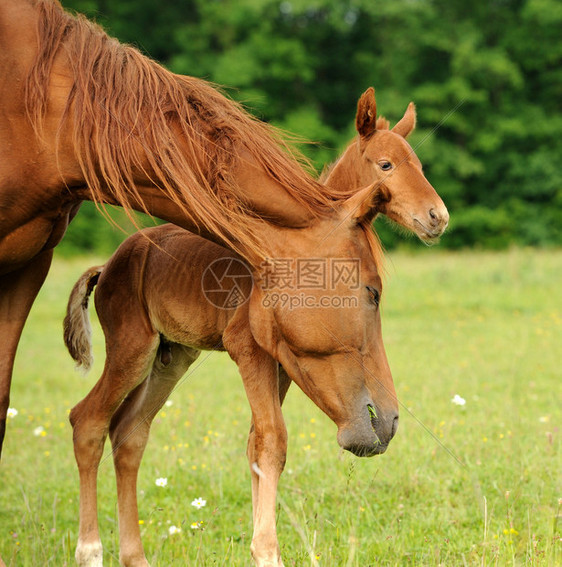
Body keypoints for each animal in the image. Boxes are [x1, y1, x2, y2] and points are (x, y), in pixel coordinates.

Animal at [0, 0, 446, 464]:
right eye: (386, 165)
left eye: (418, 163)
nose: (438, 216)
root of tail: (106, 267)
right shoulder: (247, 346)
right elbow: (268, 439)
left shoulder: (284, 358)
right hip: (133, 348)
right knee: (89, 419)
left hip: (171, 355)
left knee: (130, 430)